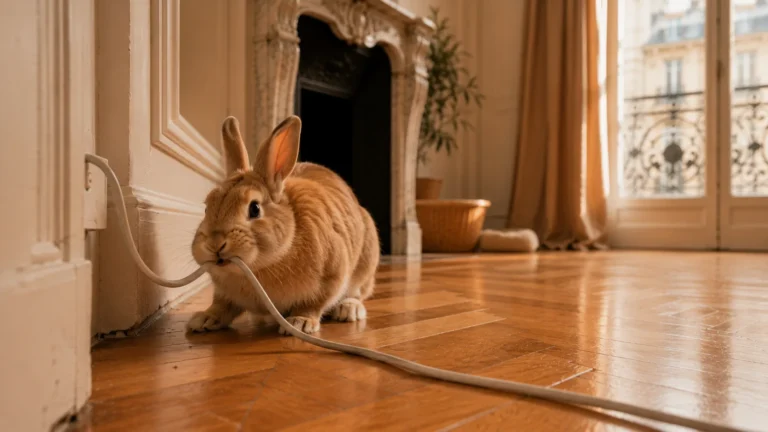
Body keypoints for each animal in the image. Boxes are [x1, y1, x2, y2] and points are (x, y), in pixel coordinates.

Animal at [187, 115, 380, 335]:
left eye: (254, 208)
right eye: (206, 208)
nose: (215, 244)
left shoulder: (331, 277)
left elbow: (313, 304)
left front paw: (299, 322)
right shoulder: (224, 294)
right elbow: (222, 306)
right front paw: (203, 319)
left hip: (365, 264)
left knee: (358, 293)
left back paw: (348, 309)